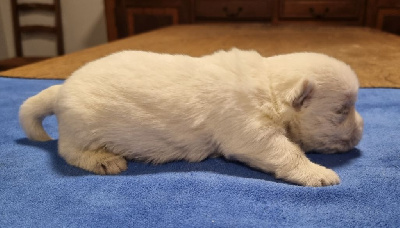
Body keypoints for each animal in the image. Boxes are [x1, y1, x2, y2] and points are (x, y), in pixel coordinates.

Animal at [18, 49, 362, 186]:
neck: (269, 87)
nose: (362, 129)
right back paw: (103, 160)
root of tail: (61, 89)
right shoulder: (250, 132)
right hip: (82, 128)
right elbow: (286, 151)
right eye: (342, 110)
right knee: (68, 151)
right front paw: (317, 172)